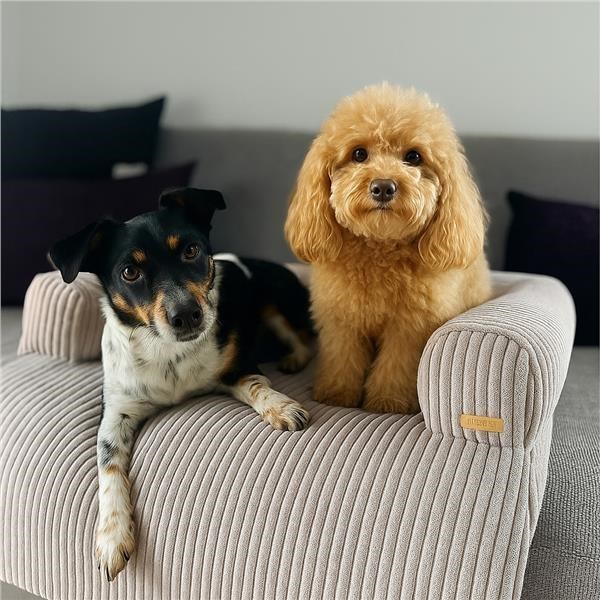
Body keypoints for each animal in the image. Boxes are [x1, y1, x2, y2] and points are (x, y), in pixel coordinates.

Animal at [49, 188, 312, 581]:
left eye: (191, 251)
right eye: (130, 272)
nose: (187, 314)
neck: (167, 352)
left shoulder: (237, 366)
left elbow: (257, 385)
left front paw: (282, 406)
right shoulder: (114, 414)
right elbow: (108, 466)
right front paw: (112, 536)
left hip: (274, 303)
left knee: (303, 341)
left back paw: (293, 359)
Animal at [285, 83, 491, 414]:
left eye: (413, 157)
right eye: (358, 153)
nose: (383, 186)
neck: (379, 248)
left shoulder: (409, 327)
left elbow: (396, 365)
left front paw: (387, 401)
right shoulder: (342, 320)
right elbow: (342, 358)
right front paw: (336, 393)